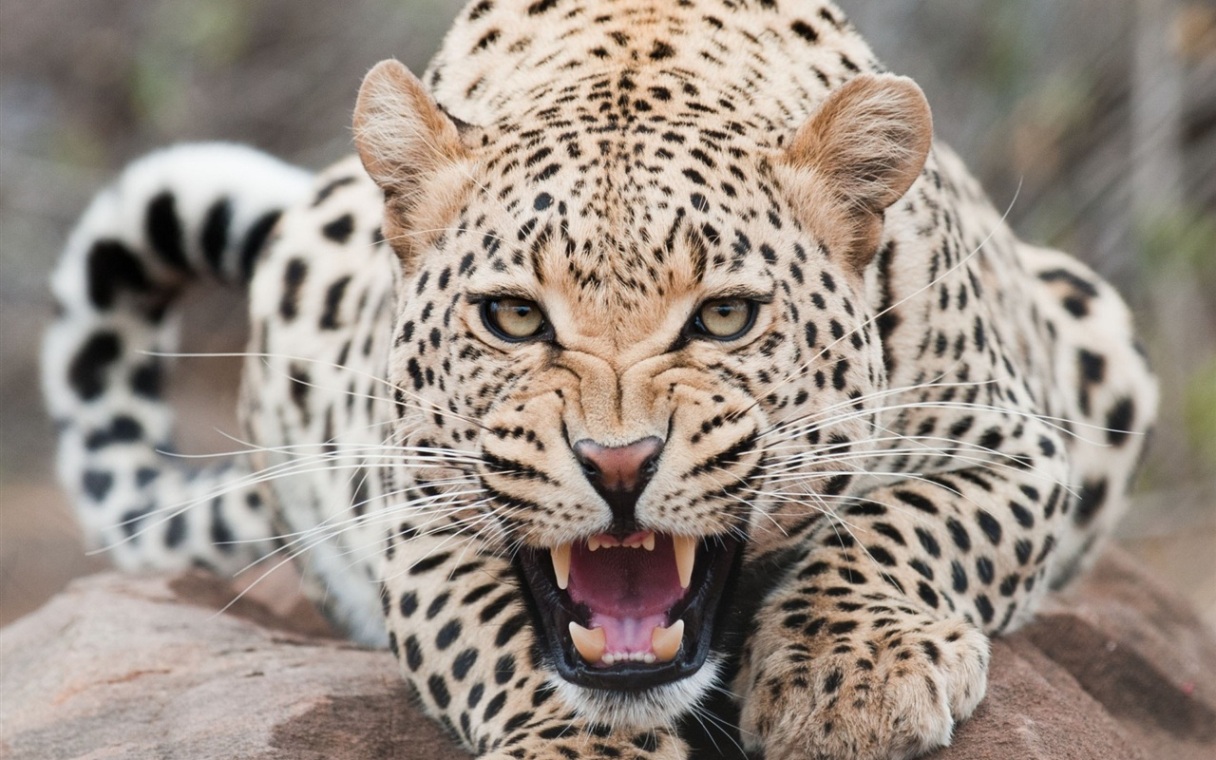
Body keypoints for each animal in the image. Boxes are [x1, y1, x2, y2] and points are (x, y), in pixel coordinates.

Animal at [40, 1, 1157, 758]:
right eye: (513, 317)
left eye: (724, 317)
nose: (618, 464)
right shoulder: (418, 513)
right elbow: (494, 635)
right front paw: (581, 746)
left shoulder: (1015, 445)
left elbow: (904, 524)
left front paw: (850, 680)